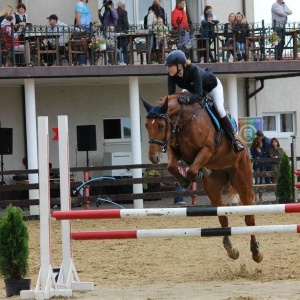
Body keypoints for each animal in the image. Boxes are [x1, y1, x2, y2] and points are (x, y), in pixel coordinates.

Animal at [142, 93, 262, 262]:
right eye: (146, 125)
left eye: (161, 126)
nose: (153, 158)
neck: (184, 121)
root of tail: (245, 145)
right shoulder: (173, 149)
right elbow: (172, 166)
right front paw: (186, 179)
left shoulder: (207, 149)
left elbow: (192, 169)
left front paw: (196, 173)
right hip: (213, 188)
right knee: (222, 216)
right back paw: (231, 249)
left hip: (242, 181)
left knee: (249, 217)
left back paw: (256, 252)